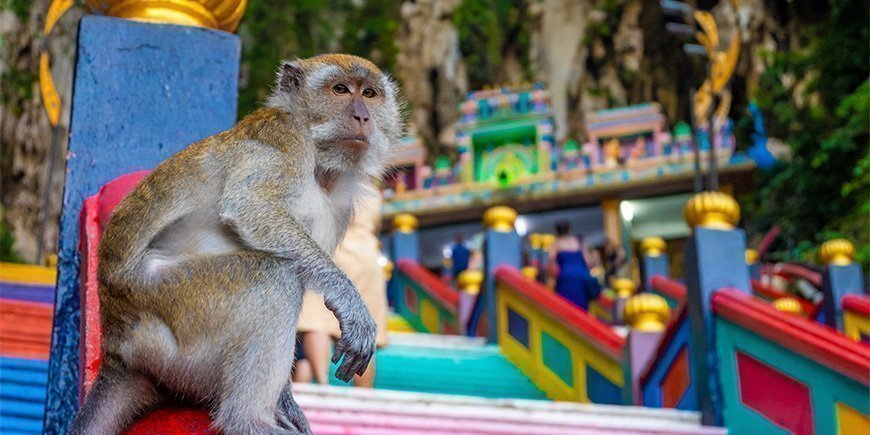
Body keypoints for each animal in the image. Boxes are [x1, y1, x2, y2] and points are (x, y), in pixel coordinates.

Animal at [68, 54, 403, 435]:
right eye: (341, 89)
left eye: (370, 93)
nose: (362, 116)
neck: (320, 165)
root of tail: (114, 344)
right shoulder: (283, 134)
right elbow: (249, 205)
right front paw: (349, 300)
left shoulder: (340, 205)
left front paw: (287, 400)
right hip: (168, 308)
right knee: (274, 279)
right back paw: (246, 419)